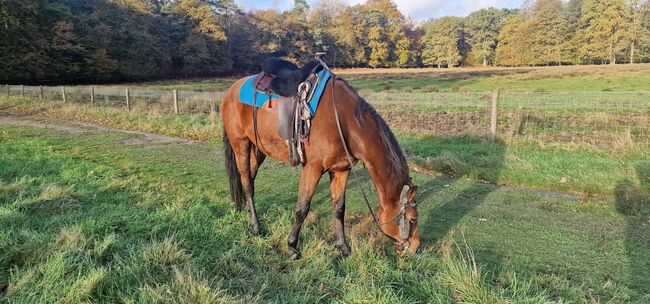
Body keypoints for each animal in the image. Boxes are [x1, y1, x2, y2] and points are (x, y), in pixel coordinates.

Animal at [220, 58, 418, 258]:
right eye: (412, 219)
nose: (416, 248)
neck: (345, 123)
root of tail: (231, 90)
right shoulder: (312, 168)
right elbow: (302, 208)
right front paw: (292, 246)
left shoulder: (341, 170)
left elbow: (339, 208)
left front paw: (343, 247)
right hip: (241, 145)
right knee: (247, 183)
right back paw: (256, 227)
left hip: (258, 149)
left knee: (249, 180)